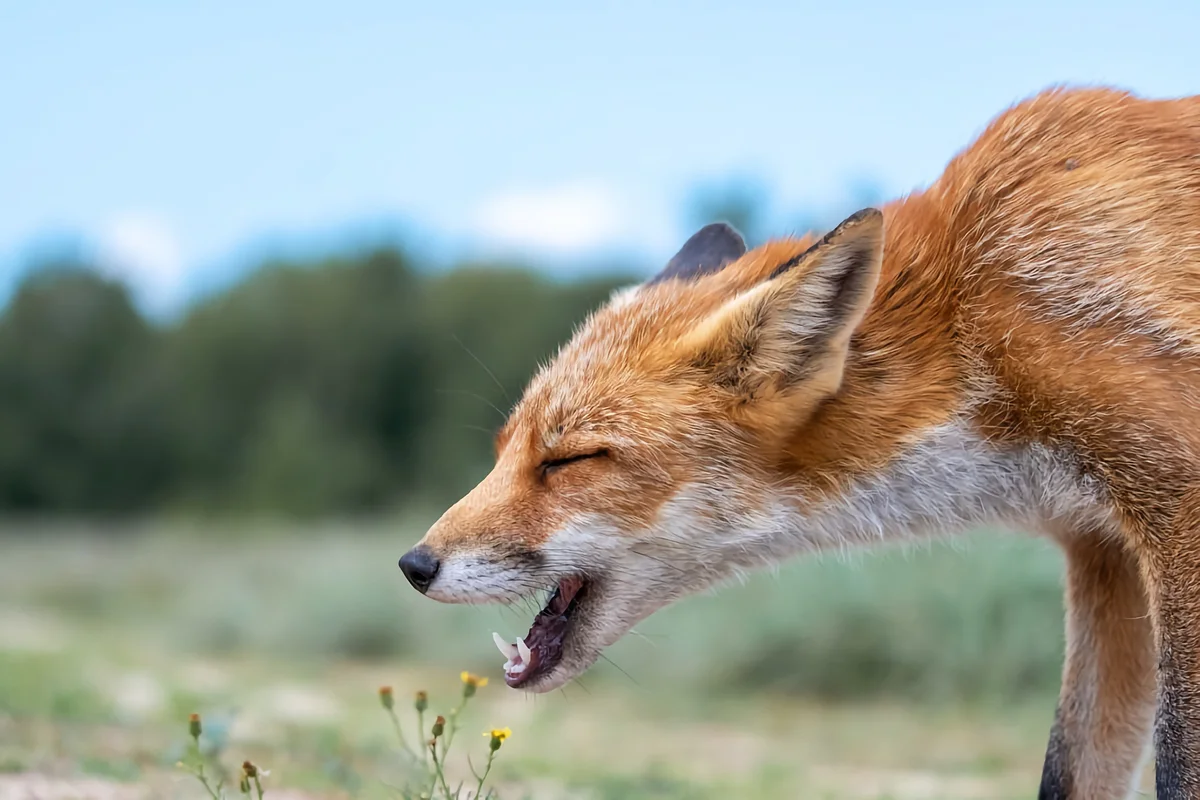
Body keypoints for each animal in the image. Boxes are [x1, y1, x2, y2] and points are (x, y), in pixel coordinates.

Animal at [398, 84, 1200, 796]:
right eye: (504, 449)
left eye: (569, 459)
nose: (413, 564)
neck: (981, 313)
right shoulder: (1100, 548)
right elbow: (1070, 775)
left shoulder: (1171, 510)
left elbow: (1176, 769)